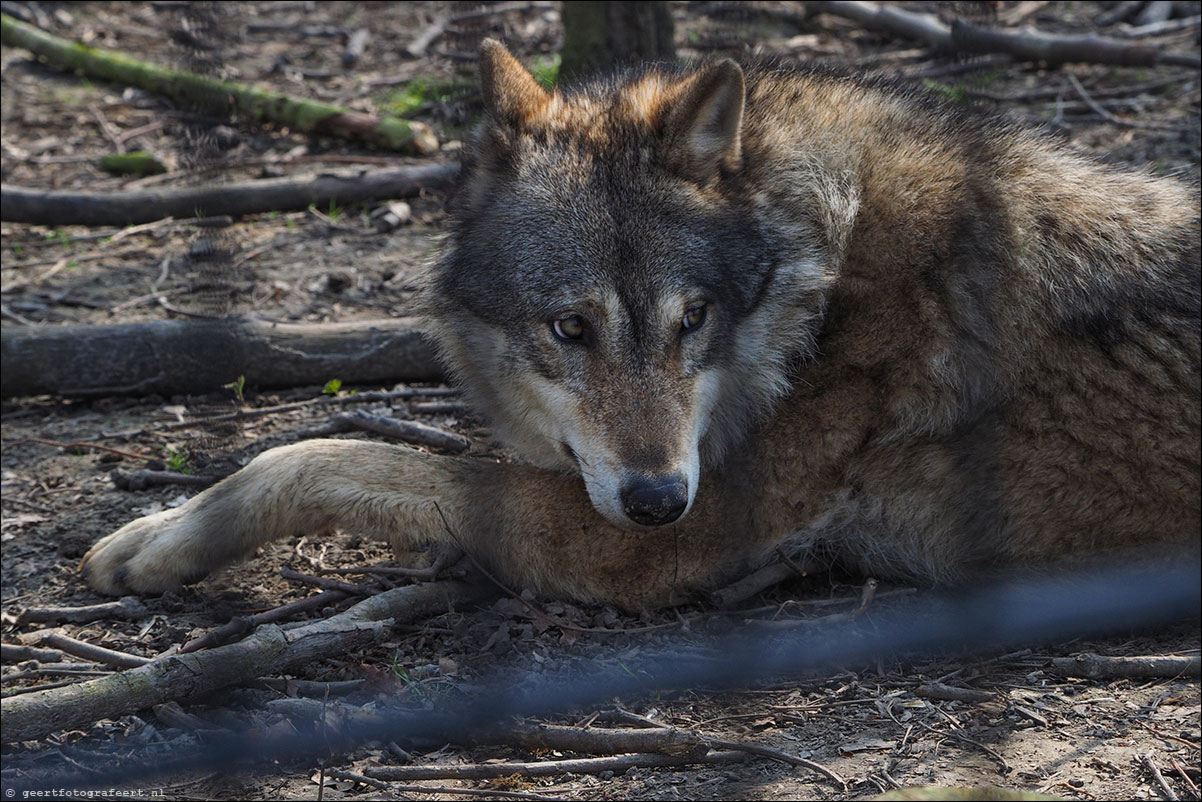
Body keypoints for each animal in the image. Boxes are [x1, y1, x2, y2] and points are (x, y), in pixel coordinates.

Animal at [79, 42, 1197, 608]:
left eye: (691, 319)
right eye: (569, 329)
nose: (658, 499)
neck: (821, 276)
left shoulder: (647, 546)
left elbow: (324, 456)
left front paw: (166, 539)